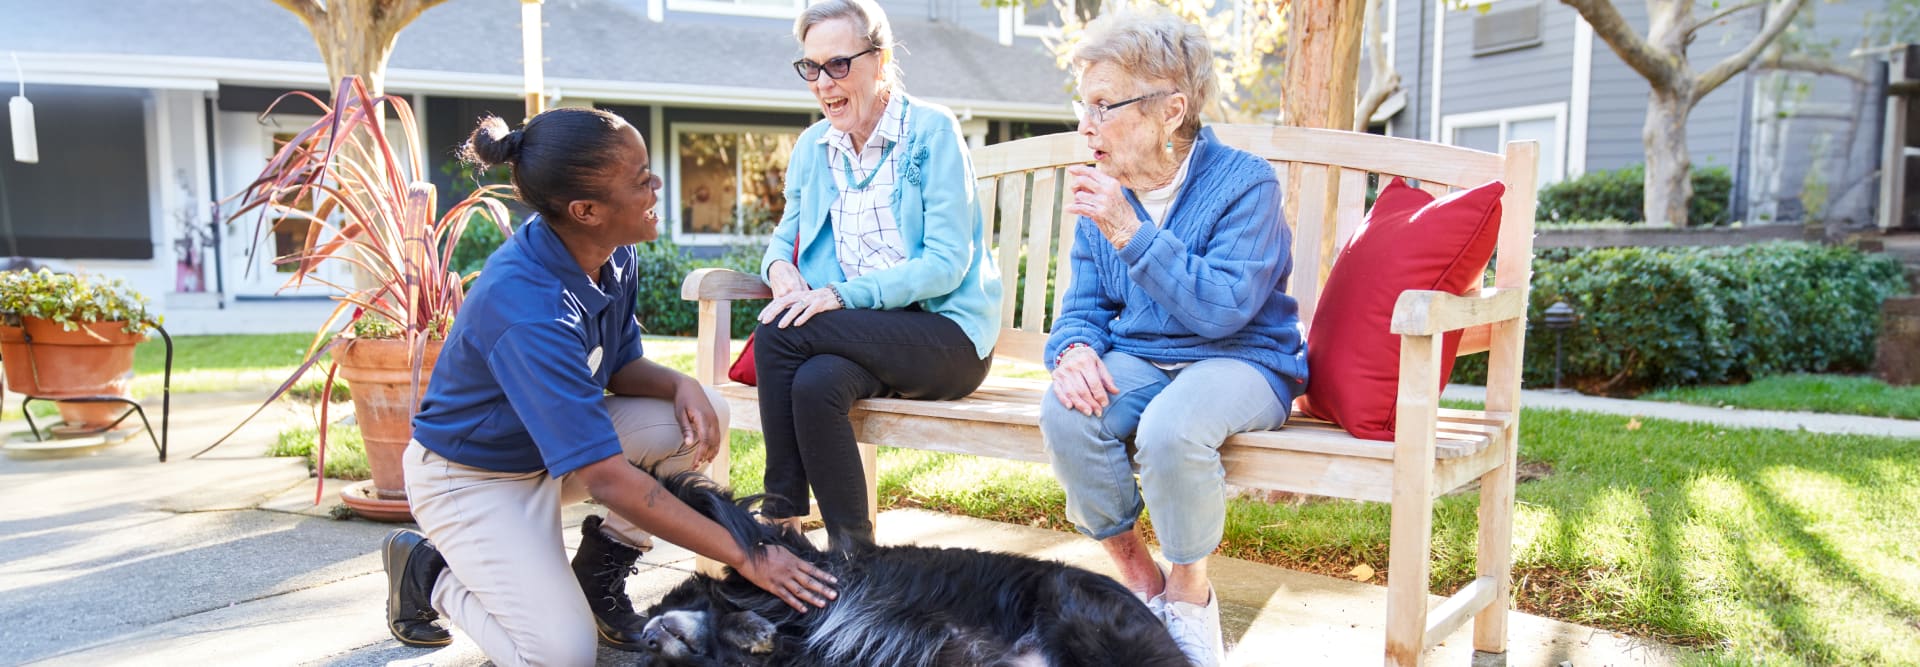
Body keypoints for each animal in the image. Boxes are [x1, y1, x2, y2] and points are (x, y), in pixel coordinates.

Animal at [637, 472, 1190, 665]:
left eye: (668, 602)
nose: (645, 639)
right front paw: (752, 634)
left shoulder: (787, 553)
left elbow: (701, 500)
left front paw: (749, 627)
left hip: (1077, 616)